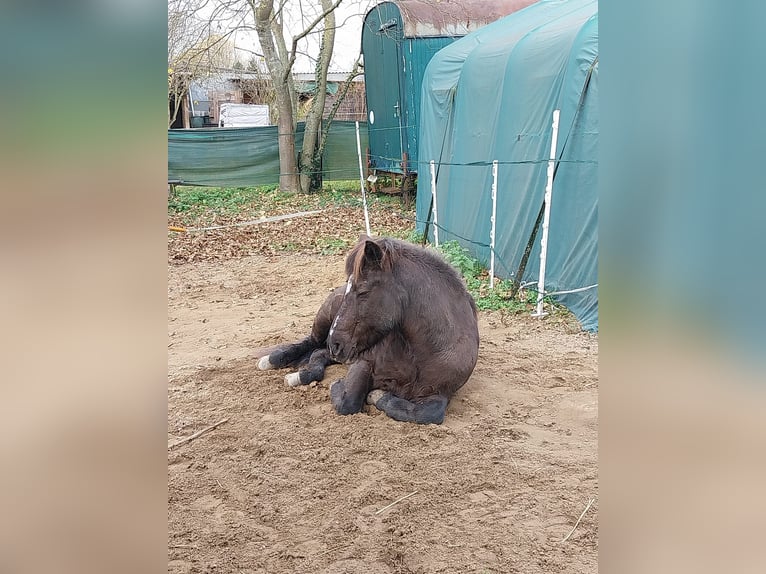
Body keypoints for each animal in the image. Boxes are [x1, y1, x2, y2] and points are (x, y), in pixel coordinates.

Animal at [257, 236, 480, 424]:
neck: (420, 355)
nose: (335, 342)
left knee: (319, 354)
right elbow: (349, 403)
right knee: (310, 343)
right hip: (325, 322)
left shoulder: (440, 393)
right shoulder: (364, 363)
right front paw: (340, 387)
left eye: (363, 291)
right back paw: (273, 360)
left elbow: (429, 414)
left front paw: (378, 396)